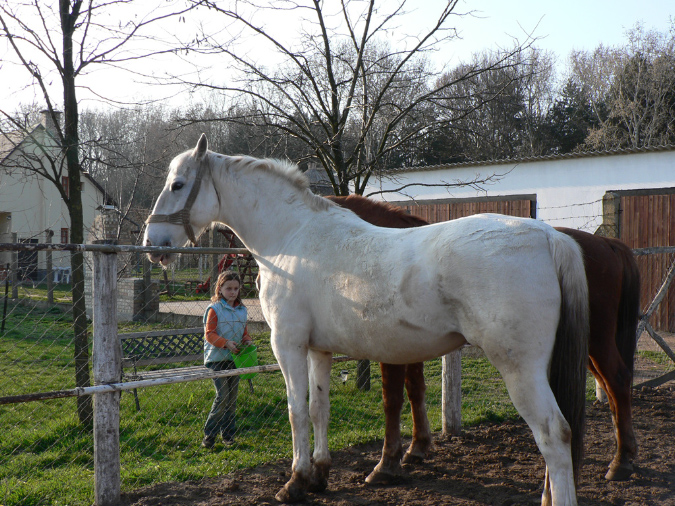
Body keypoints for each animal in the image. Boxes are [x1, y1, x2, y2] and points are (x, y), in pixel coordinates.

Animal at [144, 134, 590, 505]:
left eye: (178, 185)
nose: (151, 245)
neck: (292, 237)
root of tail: (550, 237)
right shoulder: (318, 350)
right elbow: (319, 408)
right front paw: (319, 475)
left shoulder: (287, 345)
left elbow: (296, 411)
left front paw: (295, 482)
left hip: (520, 369)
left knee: (553, 433)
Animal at [326, 196, 640, 483]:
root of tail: (608, 244)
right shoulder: (410, 346)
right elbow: (416, 390)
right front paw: (418, 447)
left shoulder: (392, 349)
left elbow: (392, 400)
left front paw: (388, 464)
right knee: (610, 389)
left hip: (595, 342)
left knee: (617, 380)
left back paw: (621, 461)